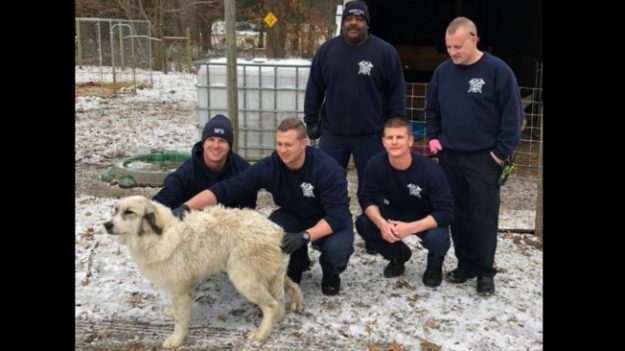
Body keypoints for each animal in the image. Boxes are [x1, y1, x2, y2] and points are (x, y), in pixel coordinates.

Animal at [103, 195, 302, 350]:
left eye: (129, 212)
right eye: (116, 210)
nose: (106, 225)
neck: (158, 235)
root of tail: (277, 231)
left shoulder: (179, 290)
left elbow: (181, 320)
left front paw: (176, 340)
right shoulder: (180, 288)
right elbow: (178, 311)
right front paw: (172, 313)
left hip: (244, 278)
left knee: (272, 305)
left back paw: (261, 334)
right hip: (269, 275)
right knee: (288, 288)